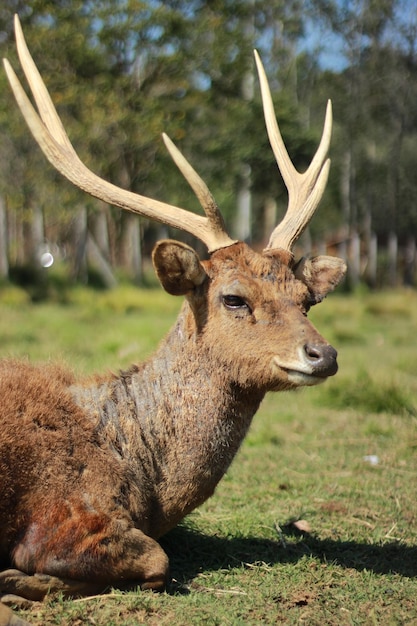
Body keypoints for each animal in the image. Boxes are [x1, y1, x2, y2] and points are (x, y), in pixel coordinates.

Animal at [0, 14, 344, 616]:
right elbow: (156, 562)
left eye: (306, 300)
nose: (322, 353)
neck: (146, 479)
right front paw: (19, 583)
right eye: (234, 299)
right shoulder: (65, 510)